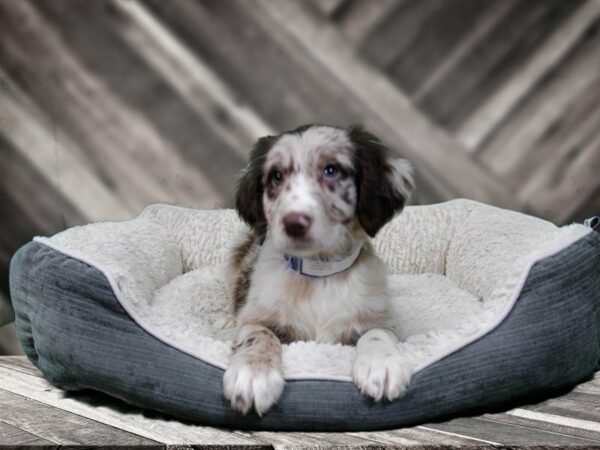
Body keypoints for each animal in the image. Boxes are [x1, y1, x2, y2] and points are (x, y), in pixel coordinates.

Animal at [223, 124, 414, 414]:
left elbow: (376, 333)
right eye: (276, 176)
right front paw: (253, 372)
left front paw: (382, 365)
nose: (293, 223)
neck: (319, 274)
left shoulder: (382, 321)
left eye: (331, 170)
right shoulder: (253, 318)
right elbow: (261, 335)